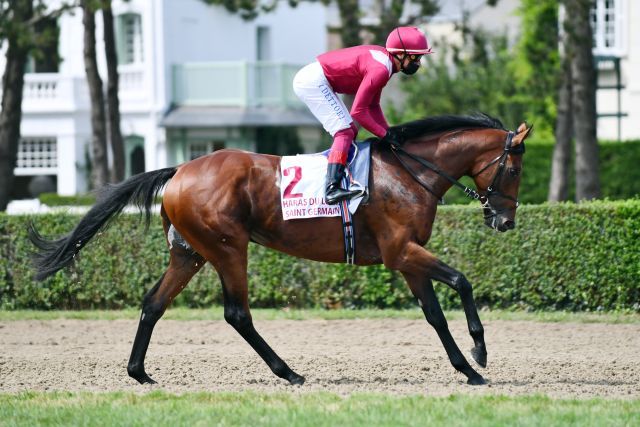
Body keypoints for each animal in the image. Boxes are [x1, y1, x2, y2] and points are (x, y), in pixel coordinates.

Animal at [30, 114, 528, 388]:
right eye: (515, 170)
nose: (505, 221)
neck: (409, 172)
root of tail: (180, 170)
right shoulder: (400, 252)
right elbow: (462, 281)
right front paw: (480, 351)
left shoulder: (408, 258)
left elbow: (434, 315)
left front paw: (467, 369)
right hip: (228, 248)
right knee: (237, 313)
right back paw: (287, 371)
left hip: (190, 253)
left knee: (153, 303)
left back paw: (139, 371)